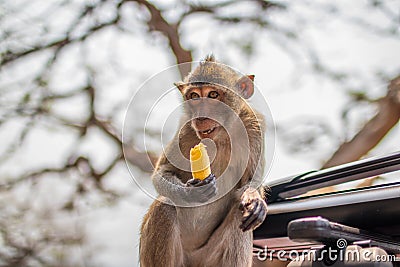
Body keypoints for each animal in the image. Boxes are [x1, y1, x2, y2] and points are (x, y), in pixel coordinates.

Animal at [139, 55, 268, 267]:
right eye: (194, 96)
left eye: (213, 94)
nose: (200, 116)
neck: (221, 135)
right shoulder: (185, 130)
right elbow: (162, 172)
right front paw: (190, 192)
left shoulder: (253, 126)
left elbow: (252, 181)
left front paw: (254, 199)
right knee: (165, 205)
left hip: (208, 258)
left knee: (240, 213)